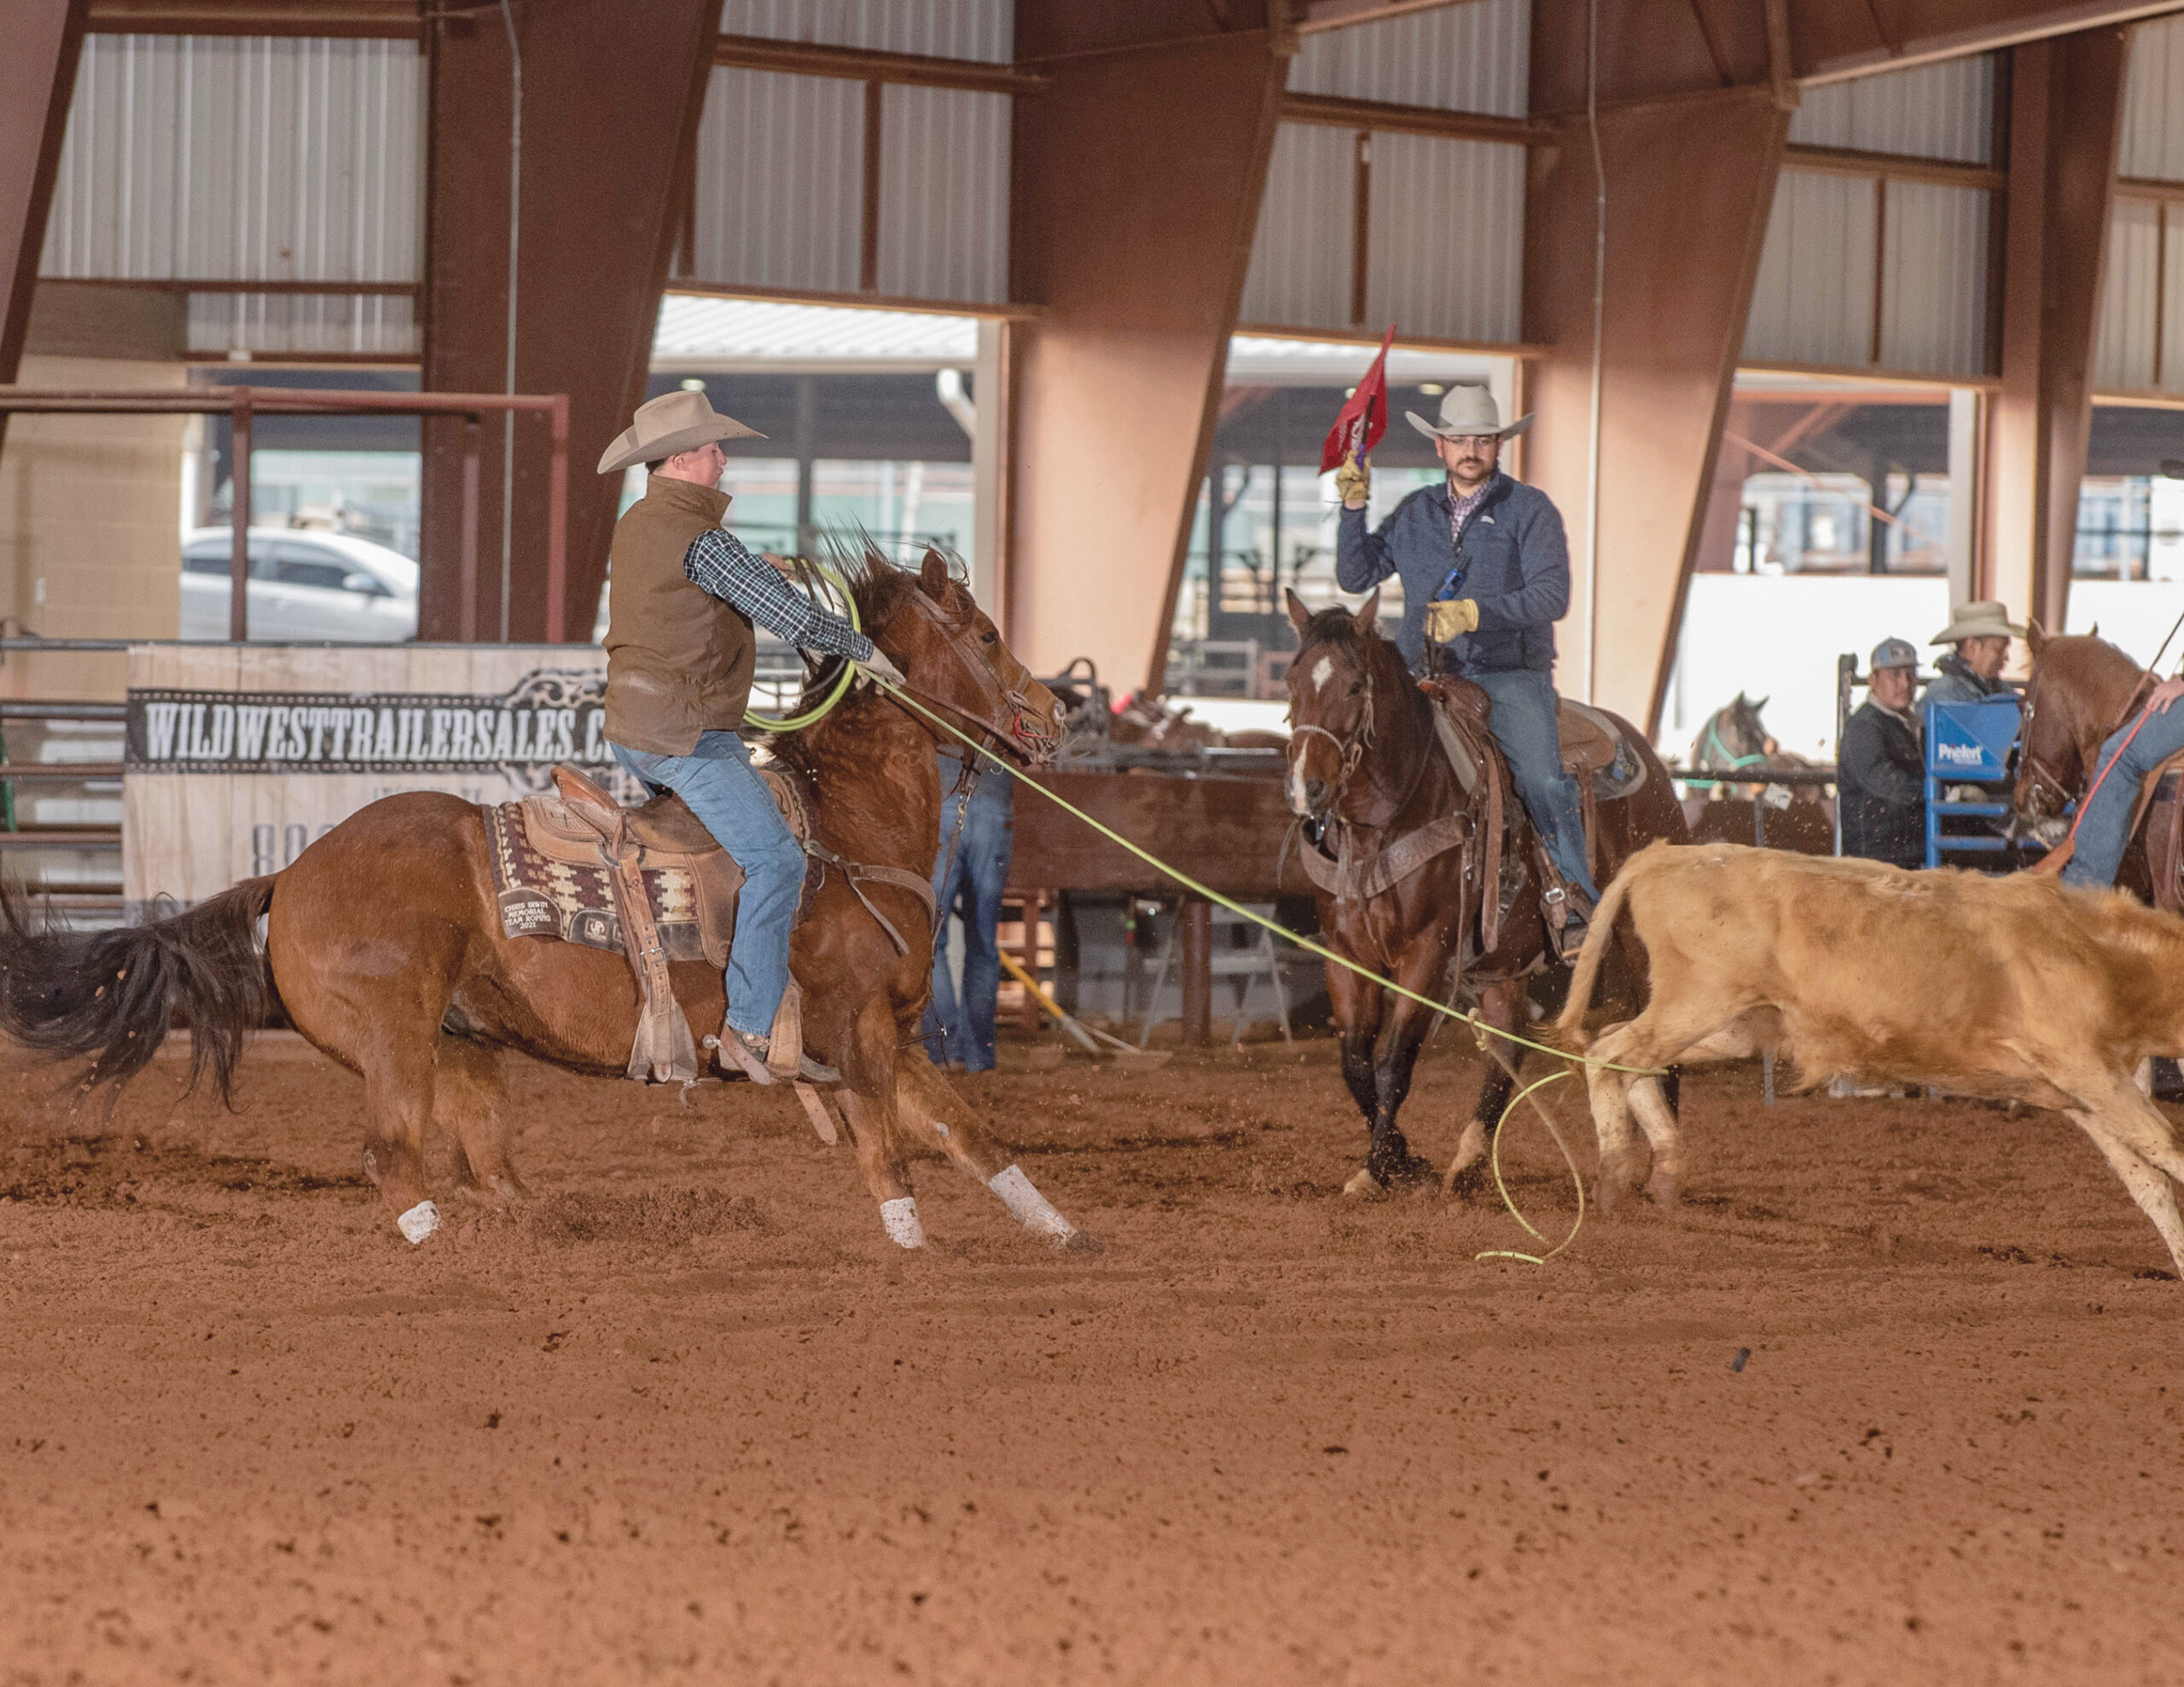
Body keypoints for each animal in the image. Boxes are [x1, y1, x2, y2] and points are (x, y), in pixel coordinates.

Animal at [0, 549, 1092, 1248]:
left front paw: (1063, 1230)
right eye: (986, 632)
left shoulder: (899, 1035)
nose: (1054, 715)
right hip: (393, 1039)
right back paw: (445, 1248)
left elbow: (970, 1134)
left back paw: (548, 1229)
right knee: (395, 1156)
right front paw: (912, 1248)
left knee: (482, 1165)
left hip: (462, 1047)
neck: (845, 831)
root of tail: (294, 874)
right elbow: (886, 1150)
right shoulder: (852, 1031)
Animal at [1275, 584, 1686, 1187]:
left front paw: (1386, 1167)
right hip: (1502, 960)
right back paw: (1468, 1161)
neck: (1386, 819)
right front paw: (1398, 1161)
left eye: (1354, 686)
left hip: (1638, 936)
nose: (1309, 787)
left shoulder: (1428, 948)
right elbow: (1355, 1062)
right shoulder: (1345, 952)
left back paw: (1662, 1164)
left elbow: (1394, 1061)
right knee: (1506, 1044)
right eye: (1292, 683)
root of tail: (1652, 762)